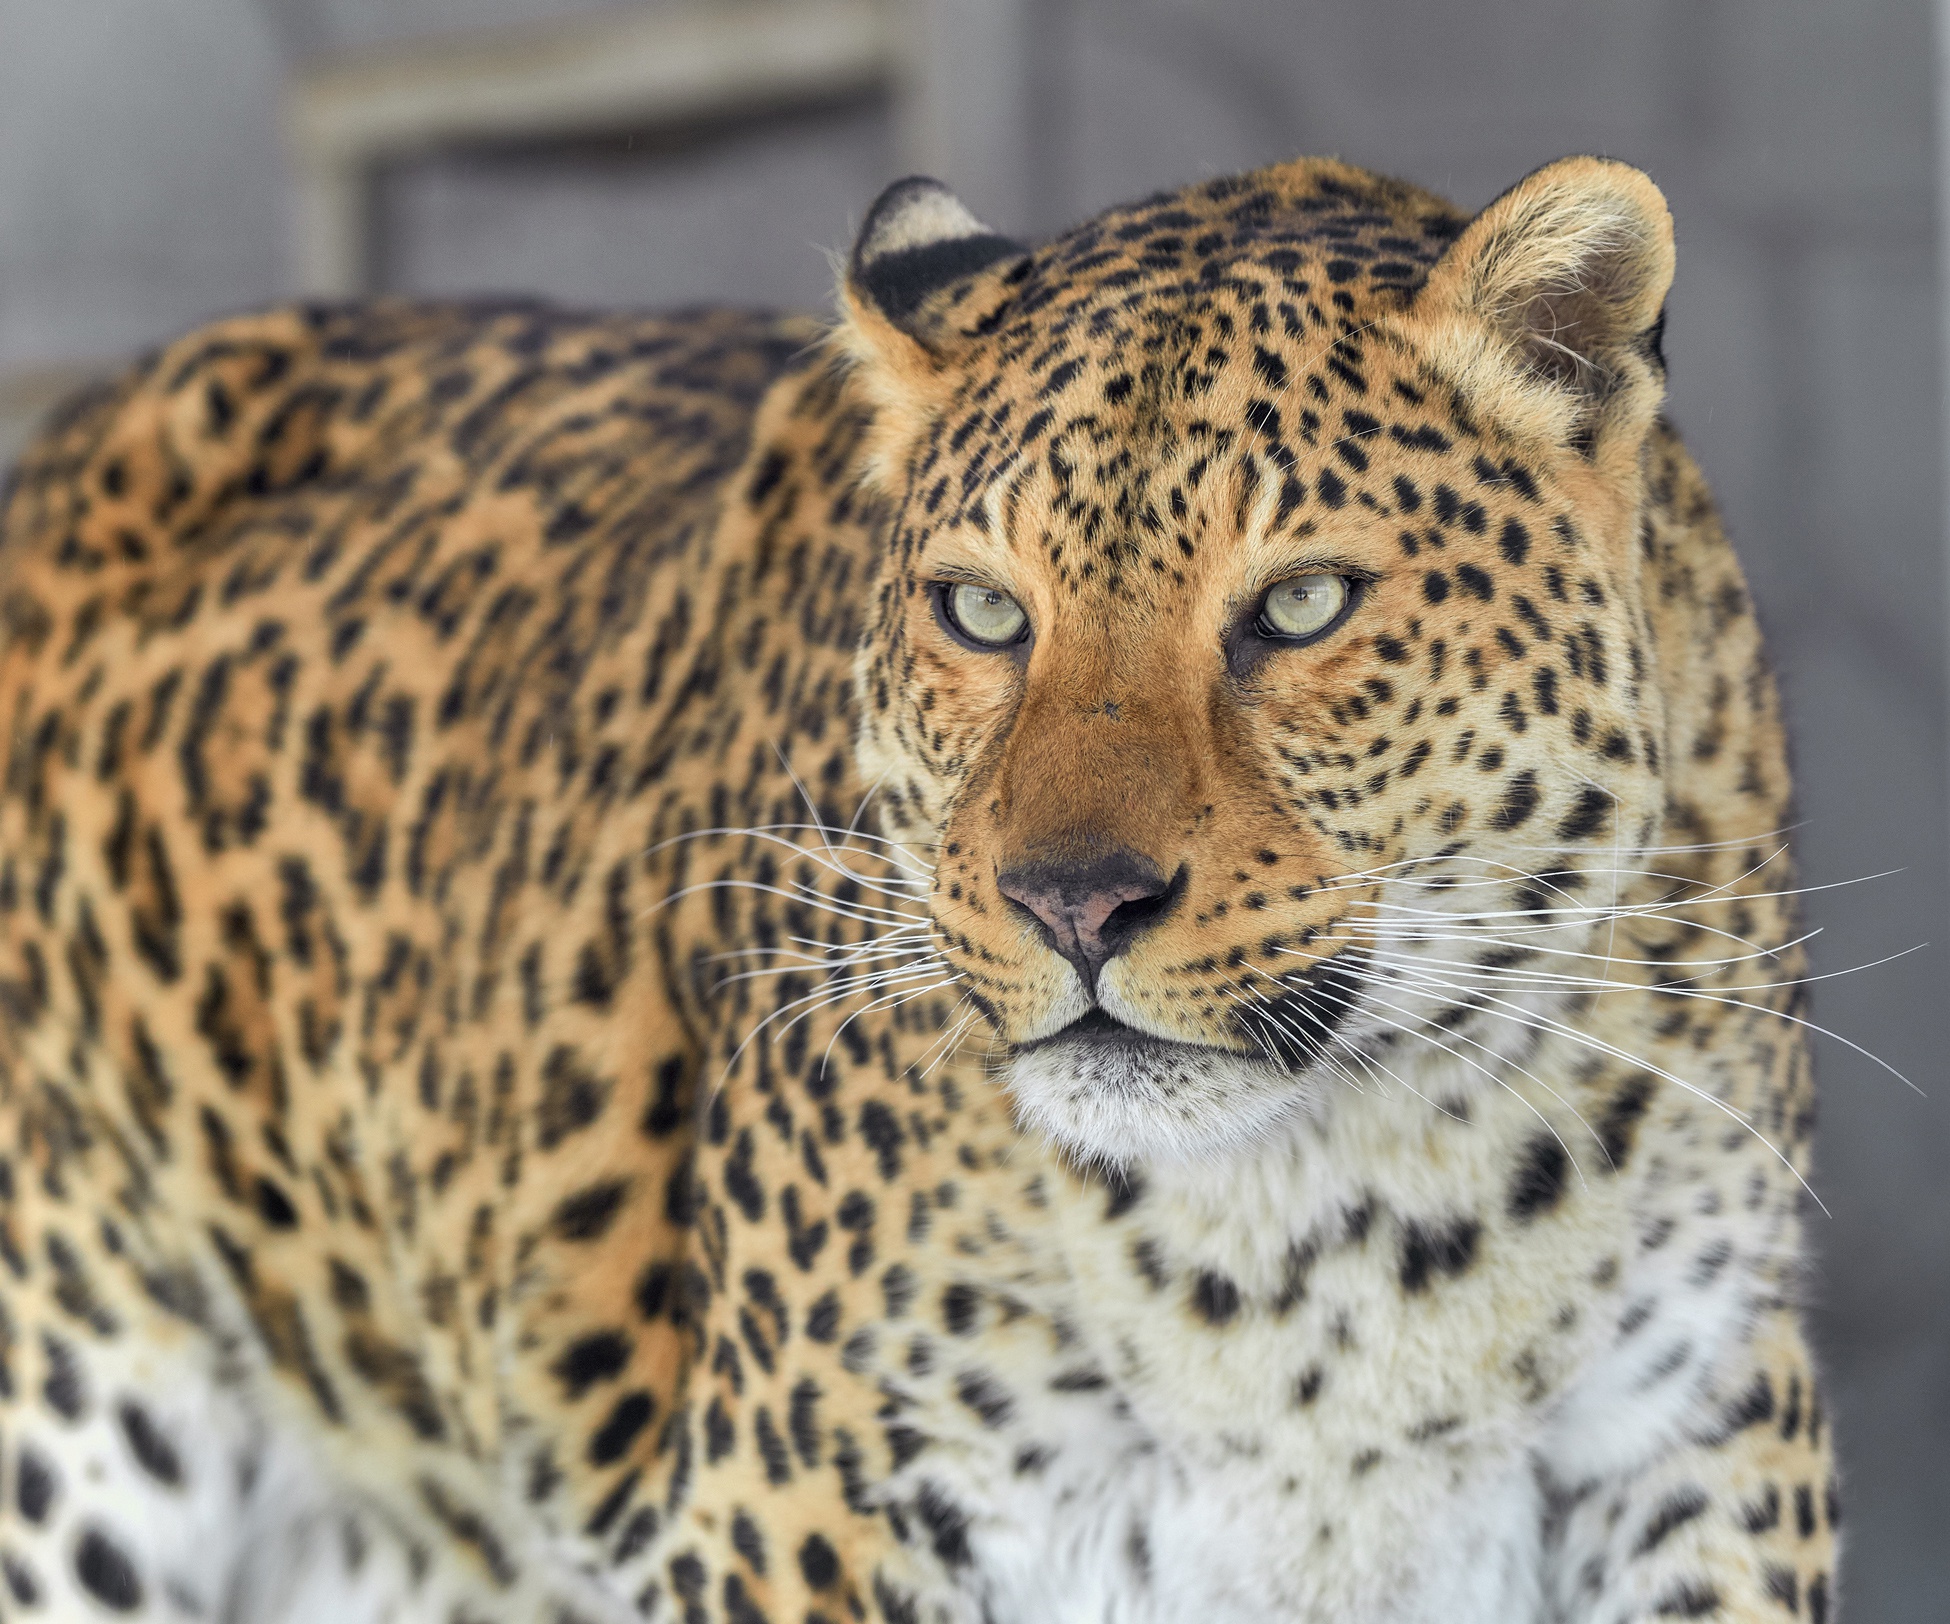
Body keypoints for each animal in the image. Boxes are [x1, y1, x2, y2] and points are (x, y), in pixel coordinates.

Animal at [0, 154, 1833, 1622]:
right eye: (983, 613)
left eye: (1302, 606)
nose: (1075, 906)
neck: (1339, 1213)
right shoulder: (808, 1505)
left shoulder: (1705, 1445)